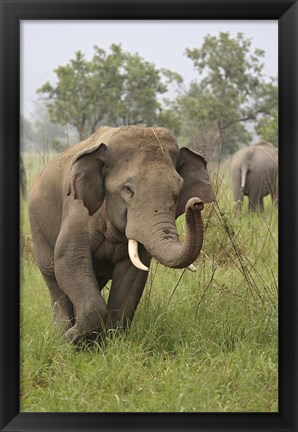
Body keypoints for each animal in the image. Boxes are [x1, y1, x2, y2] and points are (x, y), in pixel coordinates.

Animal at [28, 125, 214, 344]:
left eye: (178, 192)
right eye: (128, 190)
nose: (196, 203)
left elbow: (132, 275)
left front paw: (109, 342)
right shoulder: (77, 211)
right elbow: (69, 260)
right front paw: (71, 340)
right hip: (37, 227)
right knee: (54, 279)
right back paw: (60, 333)